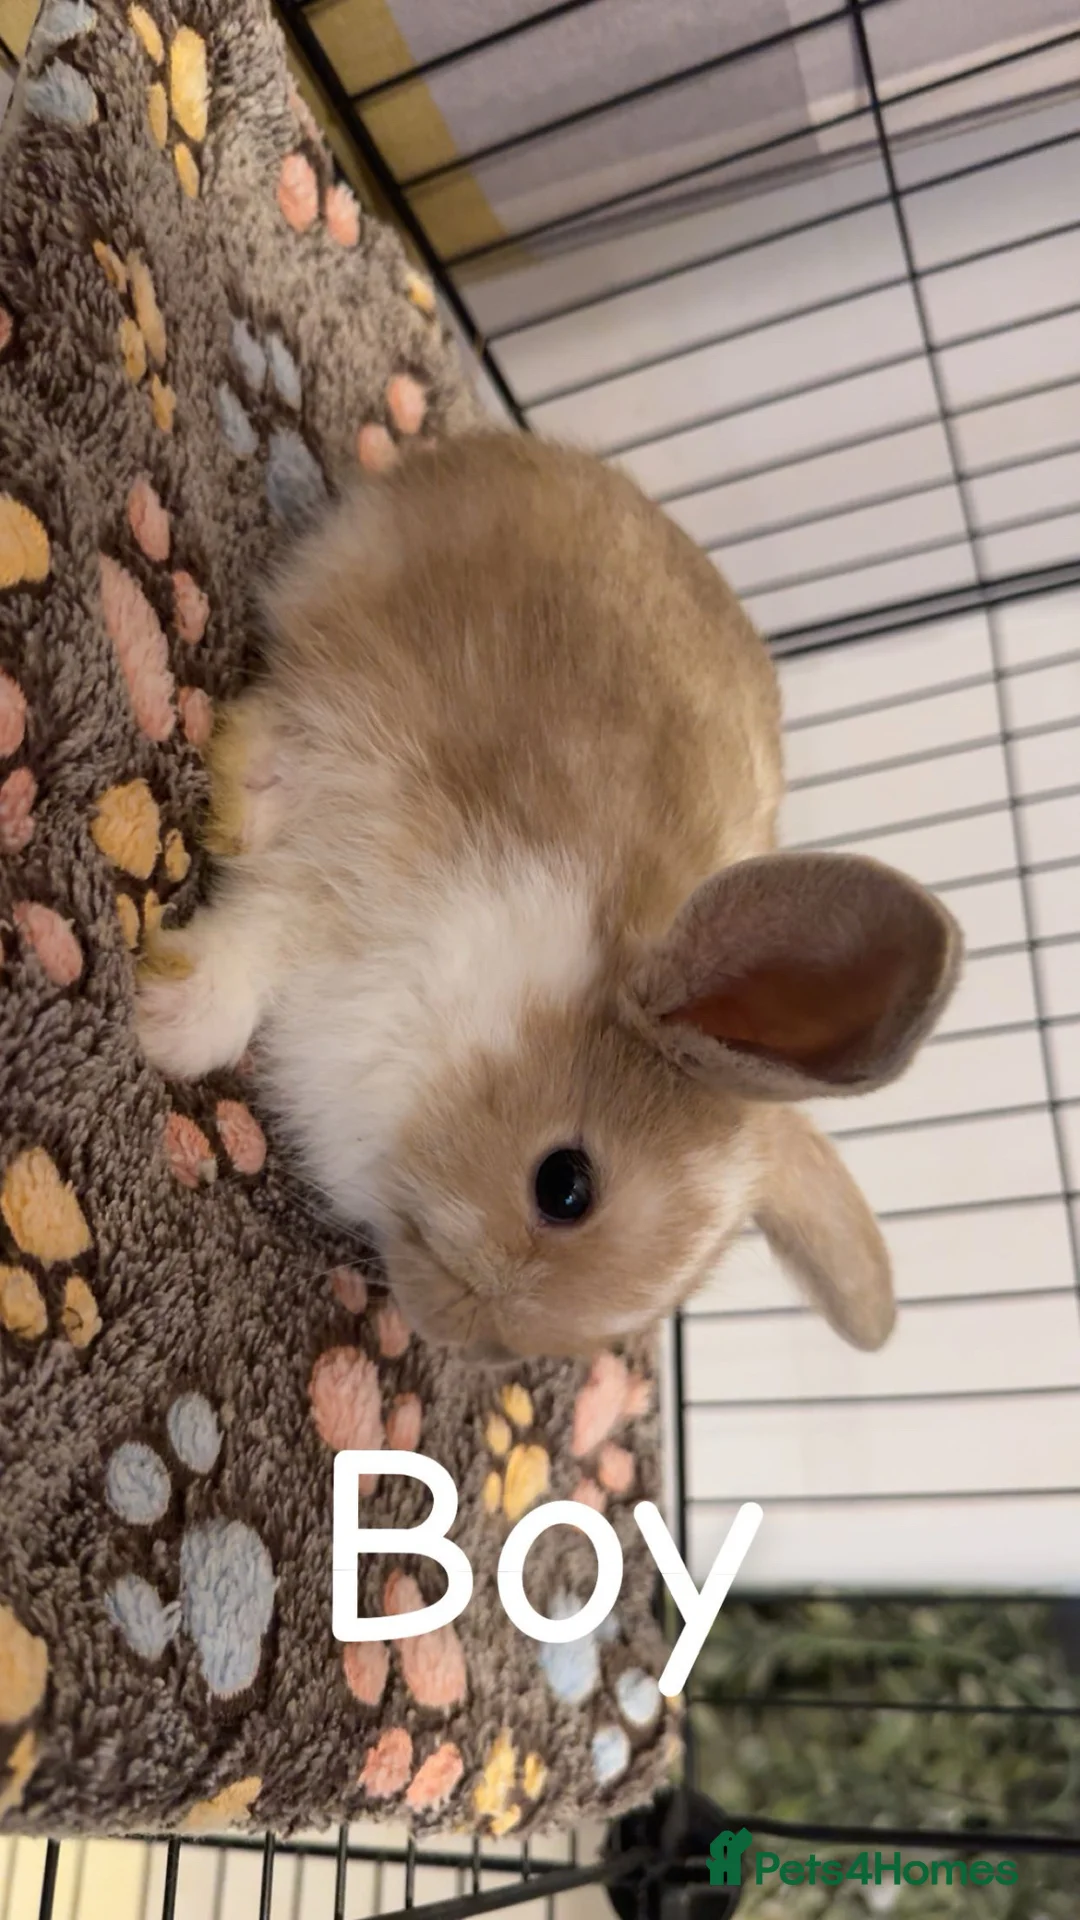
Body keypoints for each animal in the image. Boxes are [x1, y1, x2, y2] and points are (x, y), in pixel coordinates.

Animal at [136, 431, 962, 1363]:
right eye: (564, 1186)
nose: (459, 1333)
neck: (505, 1013)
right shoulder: (360, 850)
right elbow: (254, 943)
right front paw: (164, 1021)